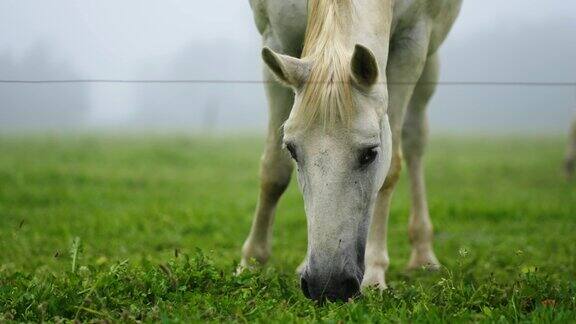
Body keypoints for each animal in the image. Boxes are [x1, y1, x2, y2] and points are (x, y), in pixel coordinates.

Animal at [241, 0, 462, 302]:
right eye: (293, 150)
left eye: (370, 153)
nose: (327, 286)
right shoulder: (277, 36)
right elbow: (273, 171)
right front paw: (251, 263)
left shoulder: (412, 43)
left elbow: (391, 169)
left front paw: (375, 273)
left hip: (429, 59)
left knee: (414, 141)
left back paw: (423, 254)